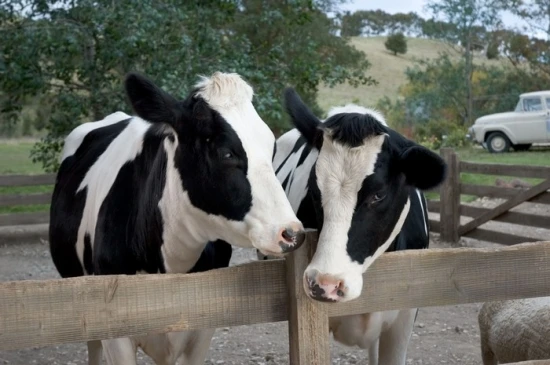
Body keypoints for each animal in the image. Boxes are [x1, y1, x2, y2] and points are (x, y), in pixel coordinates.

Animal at [48, 72, 306, 364]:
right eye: (226, 153)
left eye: (271, 149)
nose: (291, 232)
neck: (170, 265)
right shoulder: (112, 329)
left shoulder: (203, 329)